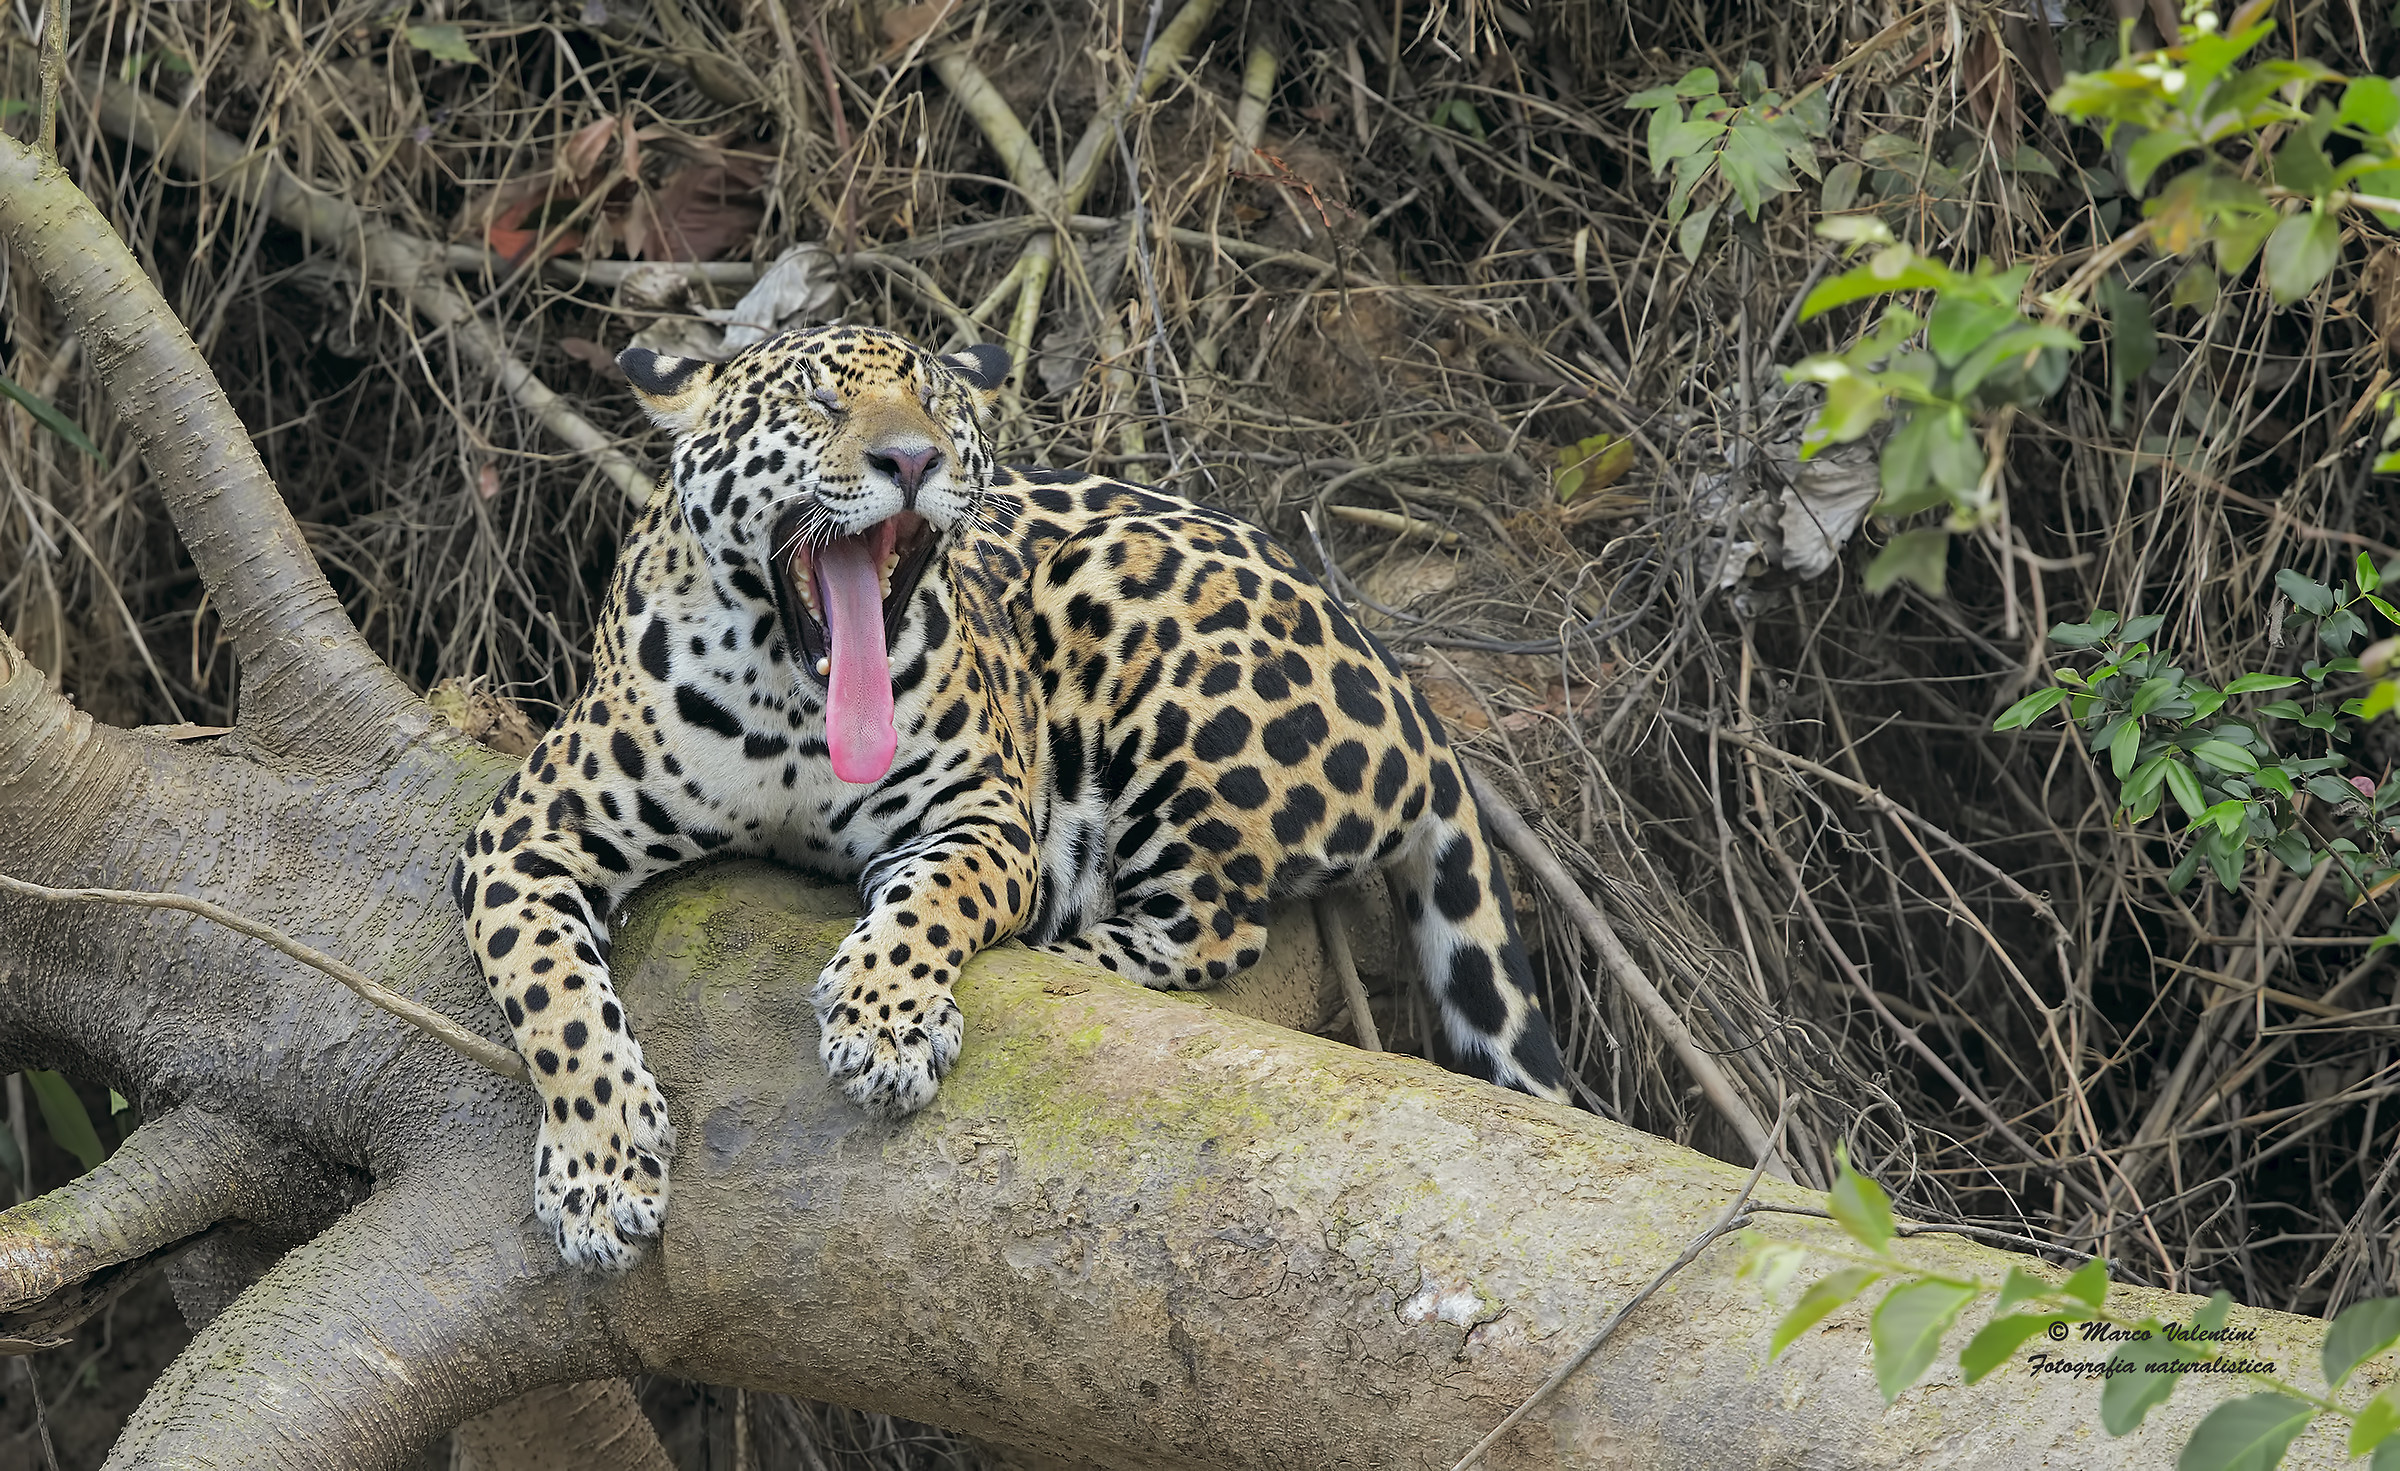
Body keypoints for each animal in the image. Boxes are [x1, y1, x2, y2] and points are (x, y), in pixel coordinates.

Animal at [452, 323, 1571, 1270]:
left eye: (939, 403)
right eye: (817, 398)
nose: (913, 461)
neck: (790, 698)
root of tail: (1408, 692)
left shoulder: (983, 820)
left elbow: (932, 901)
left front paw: (884, 1022)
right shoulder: (521, 835)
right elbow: (552, 995)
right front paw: (599, 1173)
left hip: (1115, 584)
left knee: (1209, 925)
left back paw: (1053, 948)